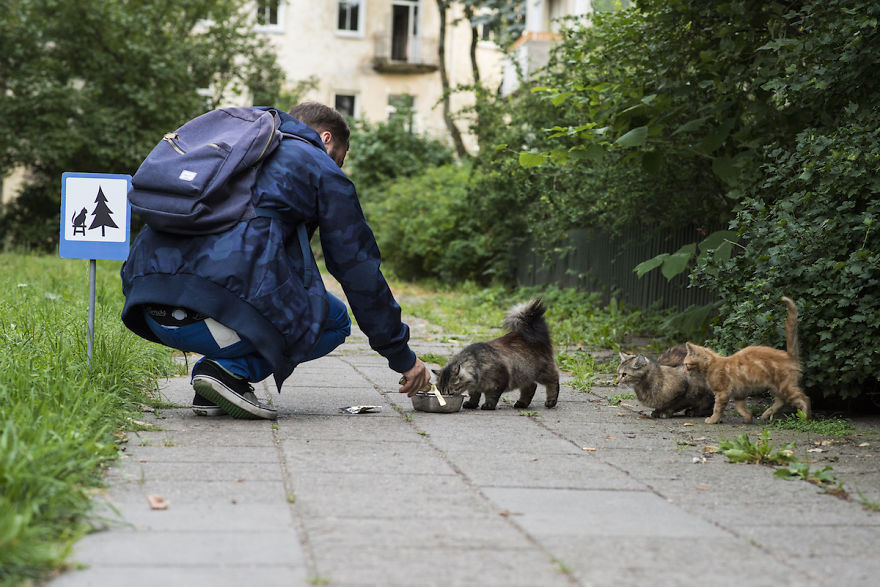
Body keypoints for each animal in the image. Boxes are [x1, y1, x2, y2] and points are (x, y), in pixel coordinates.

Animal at [434, 300, 564, 412]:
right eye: (441, 392)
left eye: (451, 393)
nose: (445, 399)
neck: (477, 365)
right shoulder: (474, 388)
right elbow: (475, 396)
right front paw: (471, 404)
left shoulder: (497, 383)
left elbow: (491, 396)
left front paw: (488, 405)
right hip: (524, 373)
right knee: (531, 386)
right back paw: (522, 403)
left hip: (542, 371)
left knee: (553, 380)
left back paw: (551, 401)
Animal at [688, 296, 812, 424]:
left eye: (686, 365)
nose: (686, 372)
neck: (711, 364)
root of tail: (788, 355)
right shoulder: (739, 392)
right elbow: (741, 407)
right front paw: (748, 417)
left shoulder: (722, 392)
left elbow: (717, 408)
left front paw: (713, 419)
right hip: (776, 387)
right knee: (781, 401)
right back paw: (766, 414)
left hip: (785, 386)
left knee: (804, 399)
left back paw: (805, 418)